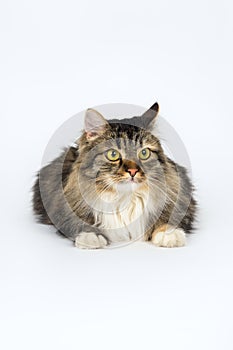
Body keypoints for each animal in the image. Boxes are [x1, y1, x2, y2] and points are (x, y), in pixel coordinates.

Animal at [32, 102, 197, 247]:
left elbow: (169, 216)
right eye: (113, 154)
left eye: (144, 153)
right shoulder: (63, 205)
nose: (133, 171)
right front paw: (91, 236)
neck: (125, 198)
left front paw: (169, 234)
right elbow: (78, 221)